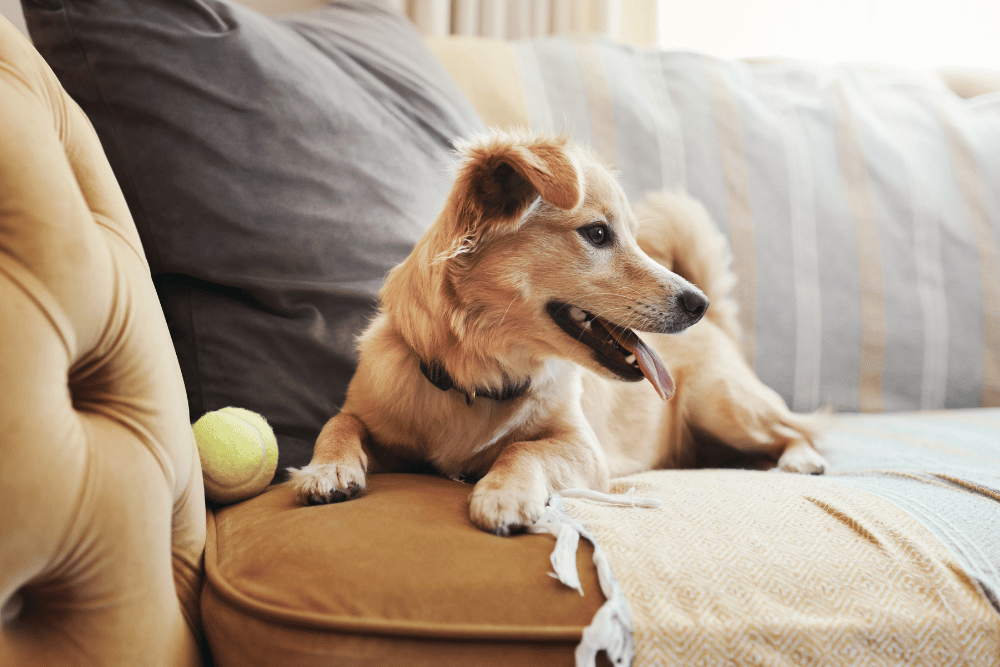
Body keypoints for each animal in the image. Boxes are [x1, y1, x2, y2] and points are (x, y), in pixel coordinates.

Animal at [292, 130, 828, 536]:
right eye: (597, 234)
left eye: (631, 237)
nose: (699, 304)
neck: (482, 376)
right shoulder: (376, 417)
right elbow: (339, 422)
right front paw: (326, 469)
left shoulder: (584, 449)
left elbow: (522, 447)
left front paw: (504, 492)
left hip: (722, 405)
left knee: (797, 429)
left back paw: (800, 460)